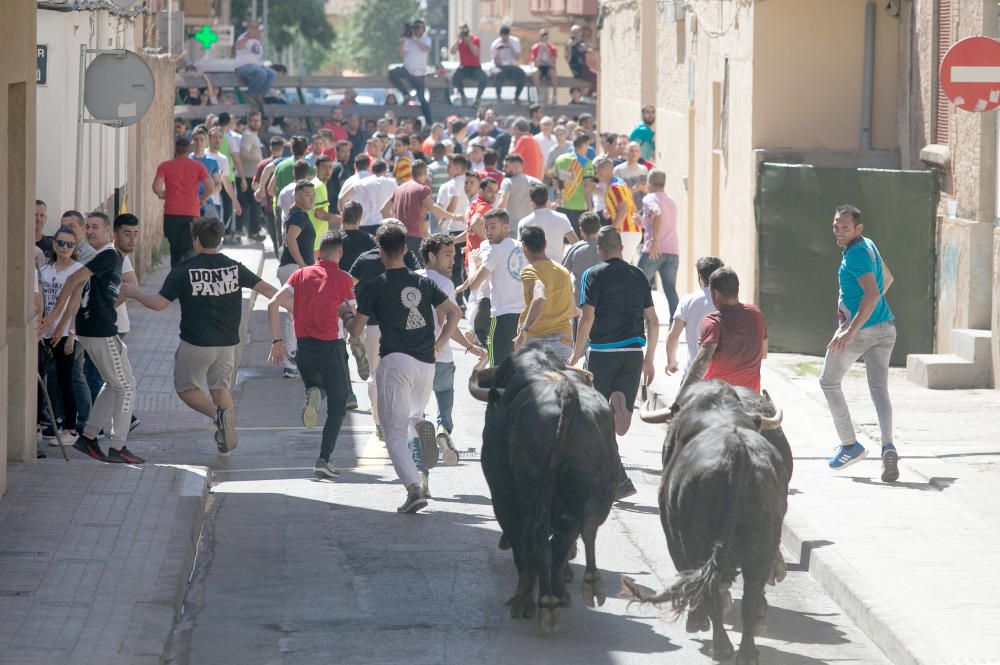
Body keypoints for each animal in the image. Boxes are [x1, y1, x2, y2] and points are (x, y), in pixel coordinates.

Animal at [468, 344, 616, 632]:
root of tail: (565, 394)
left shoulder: (502, 496)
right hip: (591, 494)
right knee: (573, 535)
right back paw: (569, 591)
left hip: (518, 498)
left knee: (530, 539)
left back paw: (531, 601)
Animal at [620, 378, 792, 664]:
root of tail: (737, 451)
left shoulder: (674, 538)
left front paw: (696, 621)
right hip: (763, 545)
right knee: (751, 594)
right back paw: (747, 650)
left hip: (698, 541)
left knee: (711, 589)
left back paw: (719, 643)